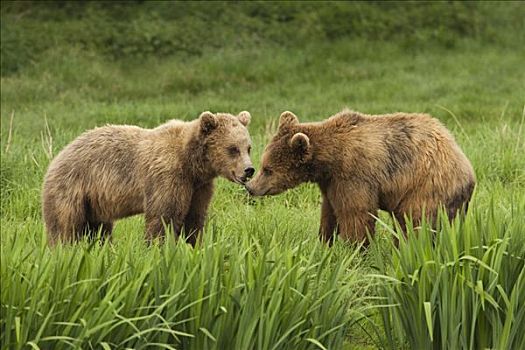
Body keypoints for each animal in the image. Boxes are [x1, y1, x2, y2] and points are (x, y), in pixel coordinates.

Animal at [42, 110, 252, 245]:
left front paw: (195, 246)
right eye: (233, 149)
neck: (192, 163)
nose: (249, 169)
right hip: (71, 189)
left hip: (94, 202)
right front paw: (159, 248)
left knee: (98, 229)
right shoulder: (168, 176)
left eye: (248, 147)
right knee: (65, 227)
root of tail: (57, 157)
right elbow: (163, 217)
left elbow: (194, 218)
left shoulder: (198, 186)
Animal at [246, 110, 474, 245]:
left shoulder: (353, 176)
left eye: (268, 169)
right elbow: (329, 211)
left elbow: (356, 215)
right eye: (264, 164)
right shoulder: (330, 183)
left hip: (425, 187)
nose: (251, 186)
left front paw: (353, 248)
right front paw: (324, 241)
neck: (329, 160)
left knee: (415, 223)